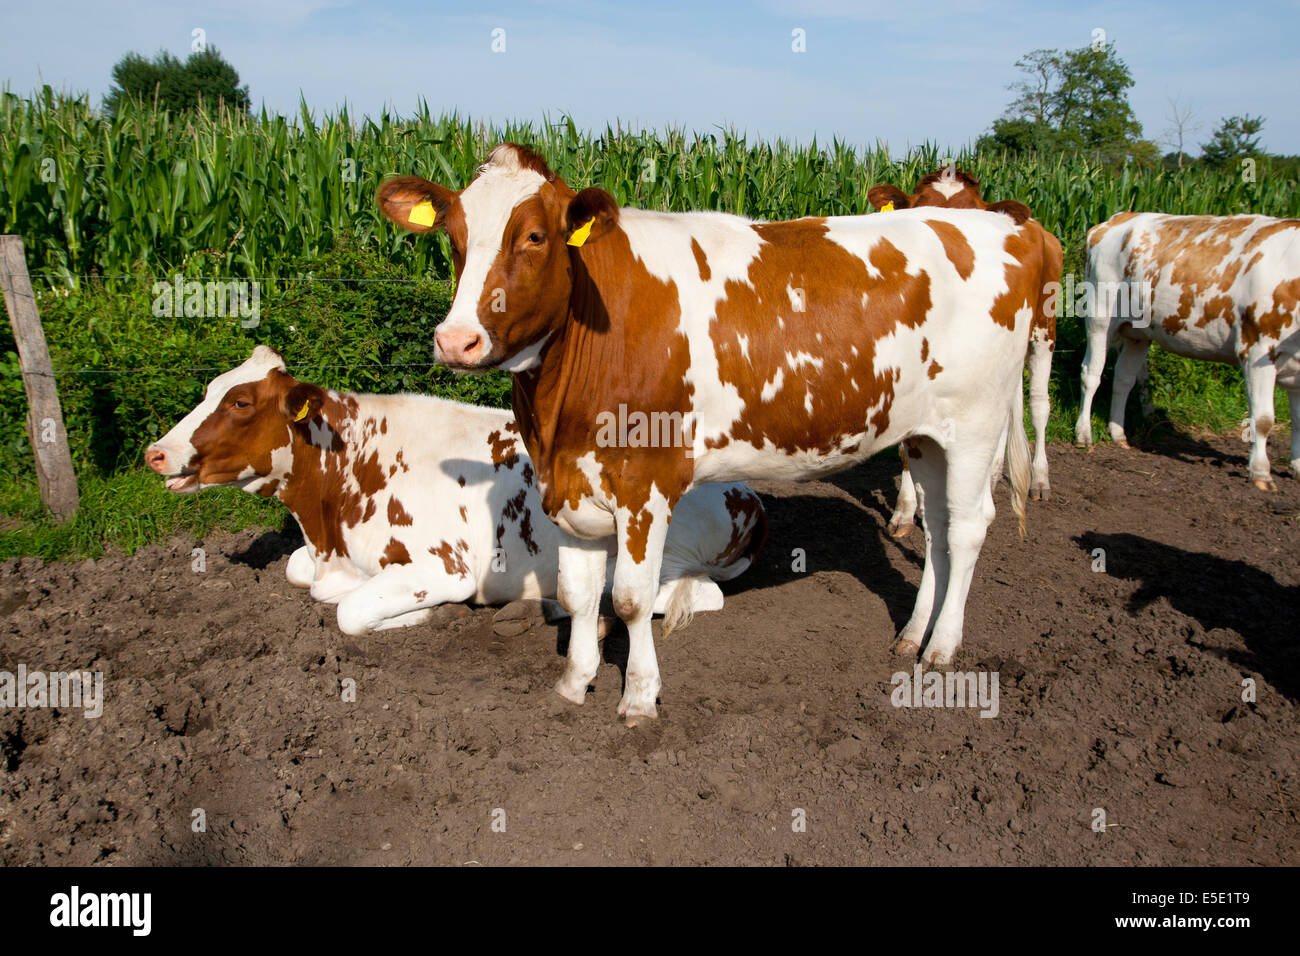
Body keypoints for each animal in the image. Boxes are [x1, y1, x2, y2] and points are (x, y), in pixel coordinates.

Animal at [147, 348, 764, 639]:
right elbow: (298, 570)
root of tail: (748, 494)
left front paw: (416, 617)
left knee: (689, 594)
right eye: (210, 389)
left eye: (240, 403)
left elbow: (349, 610)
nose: (156, 451)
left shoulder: (445, 567)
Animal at [1076, 213, 1300, 489]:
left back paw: (1118, 434)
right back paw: (1083, 435)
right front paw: (1260, 473)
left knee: (1123, 379)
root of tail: (1118, 218)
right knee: (1091, 375)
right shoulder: (1256, 349)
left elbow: (1298, 422)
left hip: (1138, 333)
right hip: (1099, 315)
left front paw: (1297, 468)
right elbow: (1264, 419)